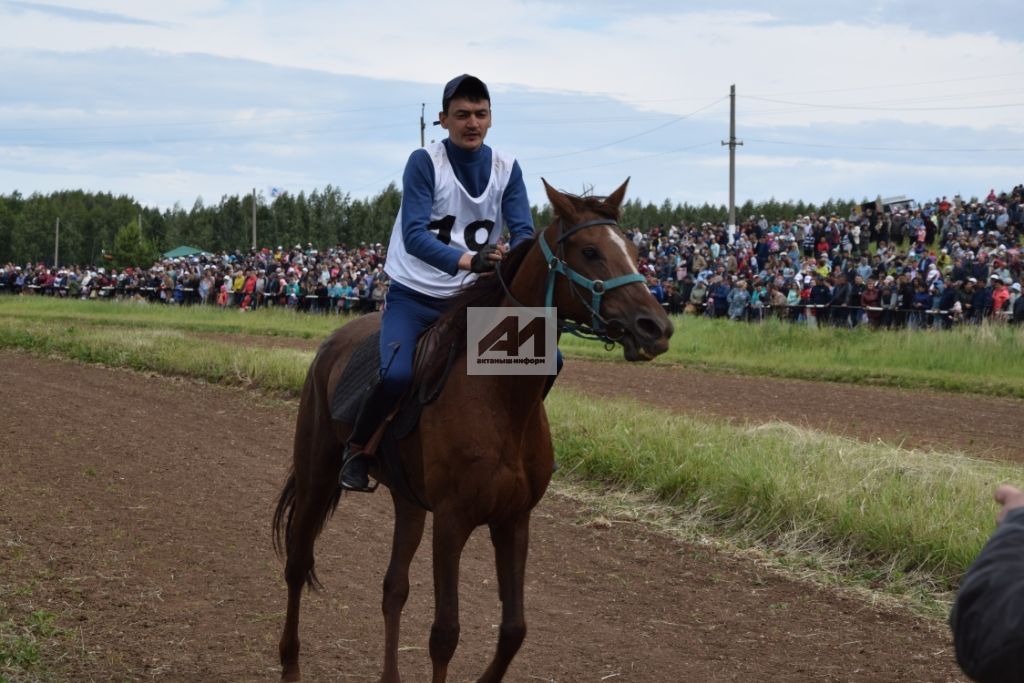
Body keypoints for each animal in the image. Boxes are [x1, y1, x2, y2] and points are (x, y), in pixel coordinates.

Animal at [272, 179, 671, 679]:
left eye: (635, 250)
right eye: (590, 251)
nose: (655, 327)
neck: (501, 399)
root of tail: (332, 343)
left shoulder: (514, 520)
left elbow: (514, 629)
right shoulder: (452, 521)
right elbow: (445, 634)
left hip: (408, 500)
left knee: (393, 588)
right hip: (317, 475)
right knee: (297, 562)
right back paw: (290, 664)